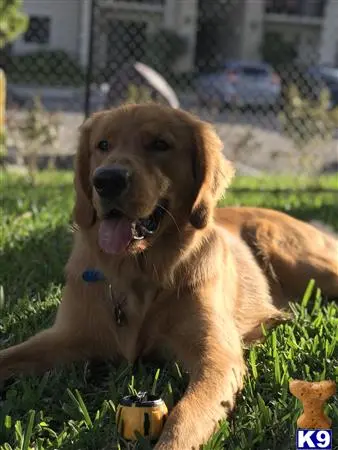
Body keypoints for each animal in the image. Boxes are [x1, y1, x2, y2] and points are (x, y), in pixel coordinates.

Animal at [0, 105, 336, 450]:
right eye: (102, 145)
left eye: (160, 144)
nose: (106, 180)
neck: (138, 273)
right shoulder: (66, 336)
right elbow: (7, 356)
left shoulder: (216, 357)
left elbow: (185, 416)